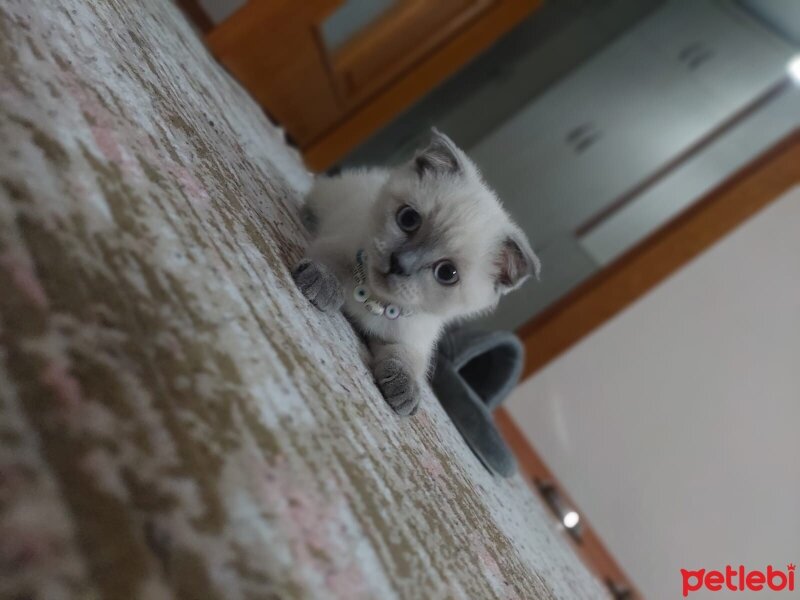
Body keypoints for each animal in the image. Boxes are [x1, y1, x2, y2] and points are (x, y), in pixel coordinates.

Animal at [290, 129, 540, 414]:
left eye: (447, 273)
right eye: (408, 219)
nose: (400, 263)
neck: (377, 302)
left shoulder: (411, 340)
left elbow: (407, 361)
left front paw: (405, 391)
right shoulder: (339, 246)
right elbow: (334, 264)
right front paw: (323, 283)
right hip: (328, 199)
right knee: (310, 199)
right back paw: (307, 217)